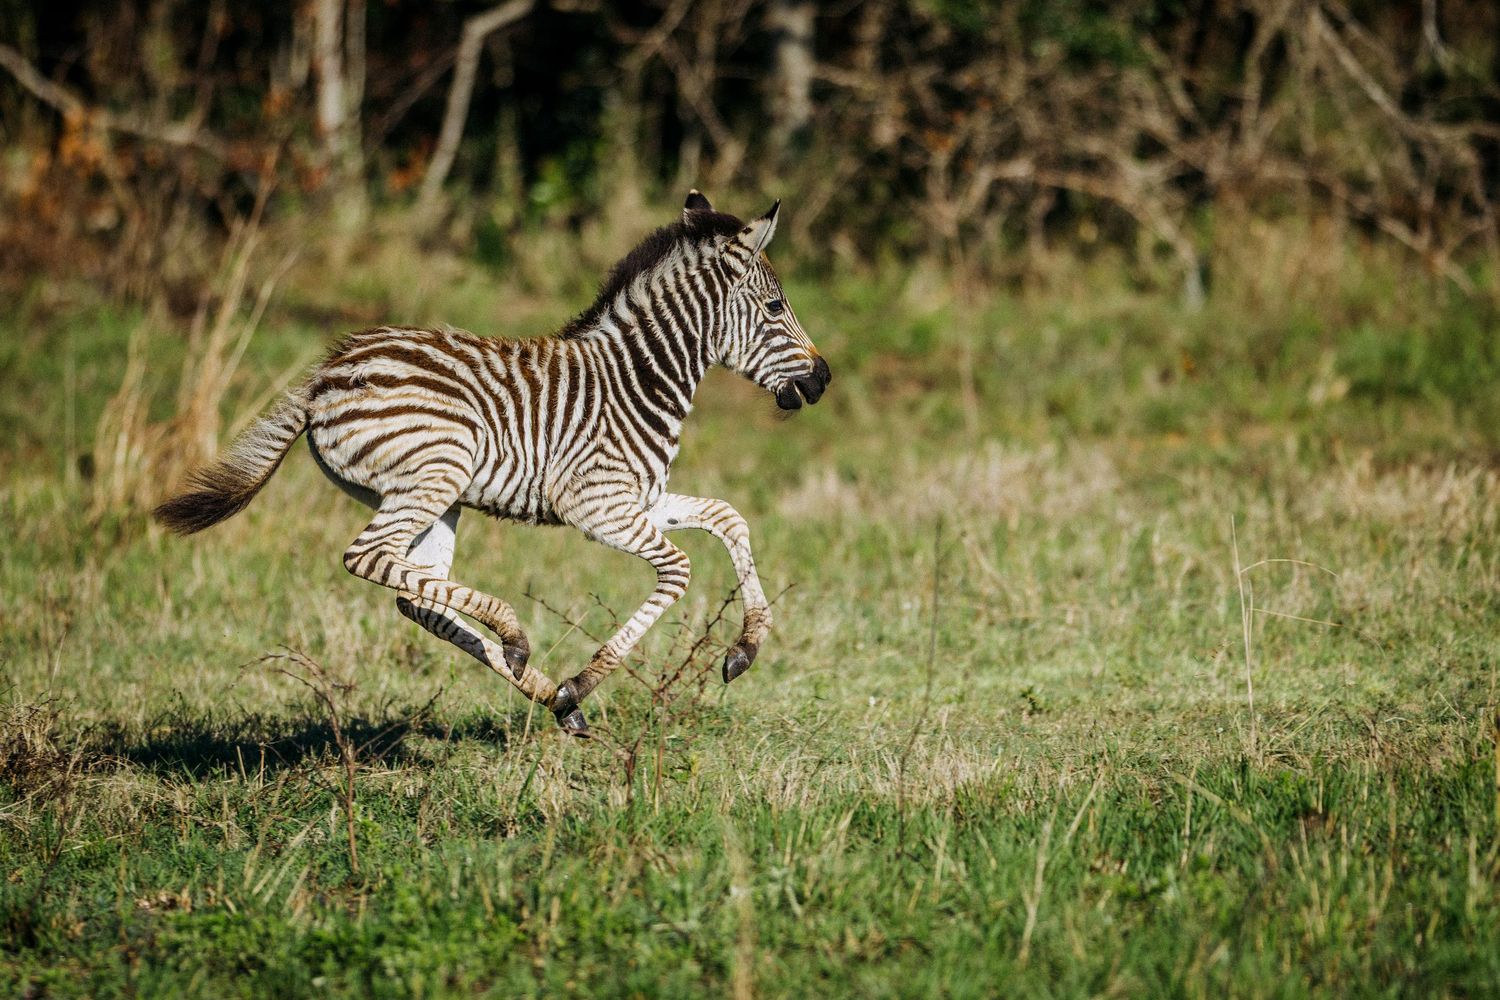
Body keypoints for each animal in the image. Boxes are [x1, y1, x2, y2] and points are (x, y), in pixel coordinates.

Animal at [154, 191, 831, 737]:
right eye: (775, 308)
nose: (823, 378)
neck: (637, 380)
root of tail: (326, 373)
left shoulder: (639, 498)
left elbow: (730, 516)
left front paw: (745, 650)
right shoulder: (594, 506)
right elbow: (680, 570)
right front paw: (586, 680)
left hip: (429, 497)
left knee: (415, 594)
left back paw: (542, 687)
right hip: (437, 474)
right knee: (369, 559)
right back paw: (518, 639)